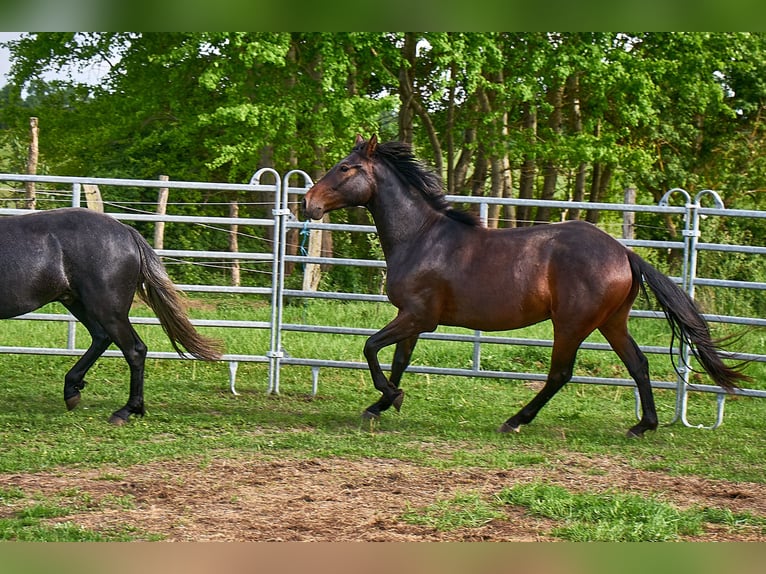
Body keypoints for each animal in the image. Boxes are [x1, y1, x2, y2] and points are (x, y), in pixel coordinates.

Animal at [0, 207, 223, 425]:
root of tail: (127, 233)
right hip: (80, 304)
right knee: (105, 338)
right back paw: (74, 391)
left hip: (107, 310)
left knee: (133, 350)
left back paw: (124, 412)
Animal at [303, 135, 749, 437]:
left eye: (346, 167)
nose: (308, 203)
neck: (421, 237)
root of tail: (624, 252)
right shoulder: (411, 319)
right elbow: (397, 360)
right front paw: (383, 402)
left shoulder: (418, 316)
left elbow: (371, 348)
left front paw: (388, 397)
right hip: (611, 322)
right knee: (637, 363)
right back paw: (643, 425)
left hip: (571, 324)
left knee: (560, 374)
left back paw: (516, 420)